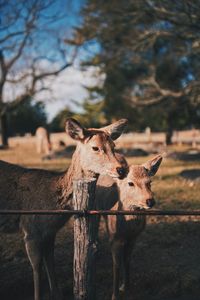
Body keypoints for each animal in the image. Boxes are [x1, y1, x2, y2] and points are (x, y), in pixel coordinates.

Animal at [0, 118, 128, 300]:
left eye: (114, 146)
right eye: (95, 147)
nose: (121, 169)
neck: (52, 204)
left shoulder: (49, 232)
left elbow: (50, 260)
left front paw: (57, 293)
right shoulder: (30, 228)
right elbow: (37, 266)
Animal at [95, 155, 162, 300]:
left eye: (150, 182)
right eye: (130, 183)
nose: (150, 201)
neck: (127, 229)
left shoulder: (133, 238)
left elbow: (127, 259)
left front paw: (126, 286)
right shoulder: (114, 239)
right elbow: (116, 264)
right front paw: (114, 295)